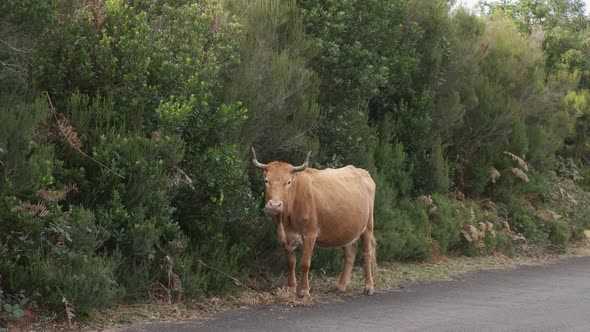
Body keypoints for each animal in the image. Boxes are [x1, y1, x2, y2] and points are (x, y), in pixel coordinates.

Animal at [252, 149, 376, 296]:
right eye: (266, 180)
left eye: (288, 182)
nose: (275, 205)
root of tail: (361, 171)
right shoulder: (284, 237)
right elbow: (290, 262)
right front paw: (291, 287)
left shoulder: (310, 234)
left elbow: (305, 263)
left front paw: (304, 290)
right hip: (344, 229)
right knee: (350, 252)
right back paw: (341, 286)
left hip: (368, 226)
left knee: (367, 253)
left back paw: (368, 286)